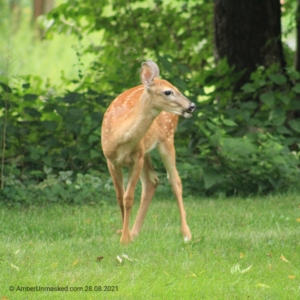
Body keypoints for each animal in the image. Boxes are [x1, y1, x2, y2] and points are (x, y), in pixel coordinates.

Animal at [101, 59, 197, 244]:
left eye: (177, 88)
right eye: (168, 92)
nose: (192, 106)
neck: (120, 139)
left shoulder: (136, 159)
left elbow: (128, 198)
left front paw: (125, 239)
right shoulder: (110, 160)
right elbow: (119, 197)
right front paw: (126, 234)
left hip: (166, 138)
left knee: (175, 180)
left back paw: (187, 234)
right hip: (146, 150)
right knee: (152, 180)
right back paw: (135, 232)